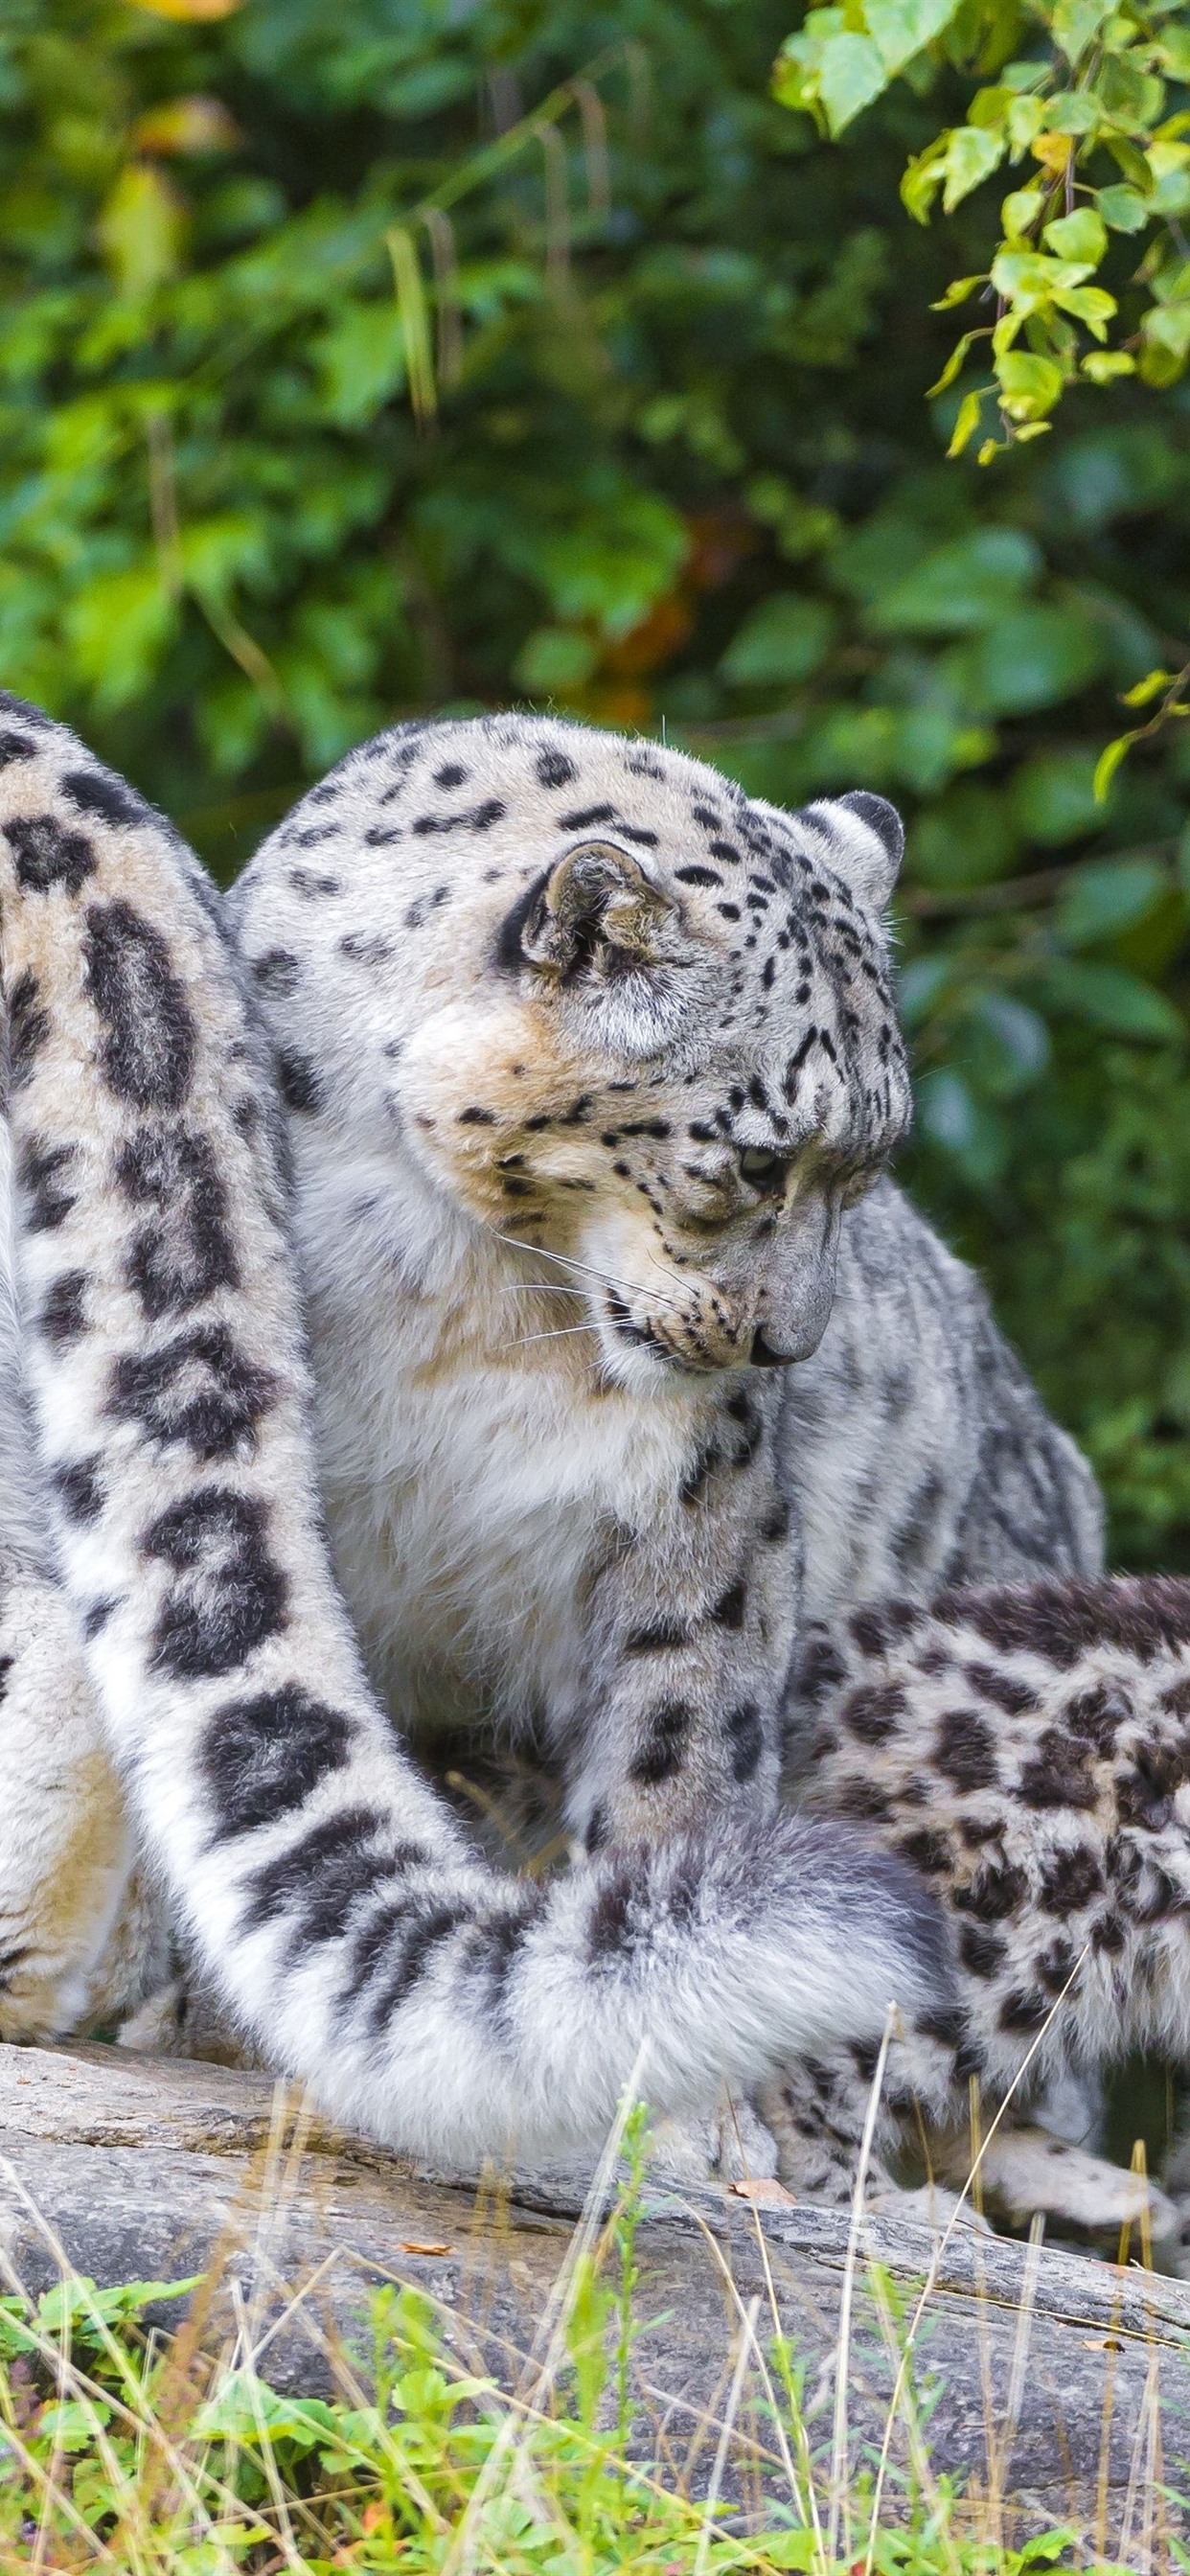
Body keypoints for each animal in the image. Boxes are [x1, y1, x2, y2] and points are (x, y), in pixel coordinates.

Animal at [0, 693, 1099, 2180]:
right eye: (755, 1160)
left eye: (867, 1169)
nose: (787, 1346)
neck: (469, 1303)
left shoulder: (702, 1508)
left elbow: (676, 1751)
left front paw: (688, 2101)